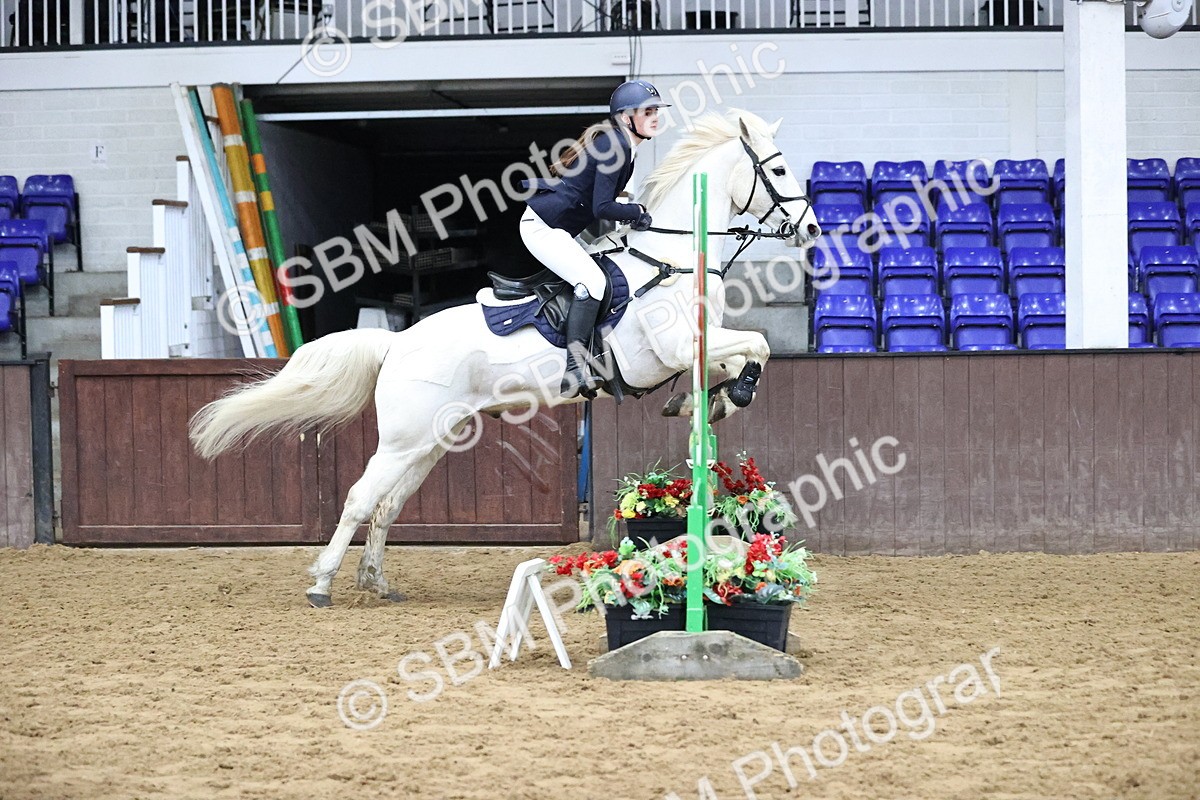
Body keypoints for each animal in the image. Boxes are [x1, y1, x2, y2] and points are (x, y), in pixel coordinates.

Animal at [189, 109, 822, 608]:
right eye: (779, 171)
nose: (812, 229)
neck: (671, 257)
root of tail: (399, 340)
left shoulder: (693, 348)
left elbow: (739, 357)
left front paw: (714, 402)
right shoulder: (666, 350)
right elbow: (758, 344)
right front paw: (731, 394)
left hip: (430, 441)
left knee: (388, 503)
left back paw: (377, 582)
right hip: (403, 439)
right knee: (359, 498)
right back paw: (322, 583)